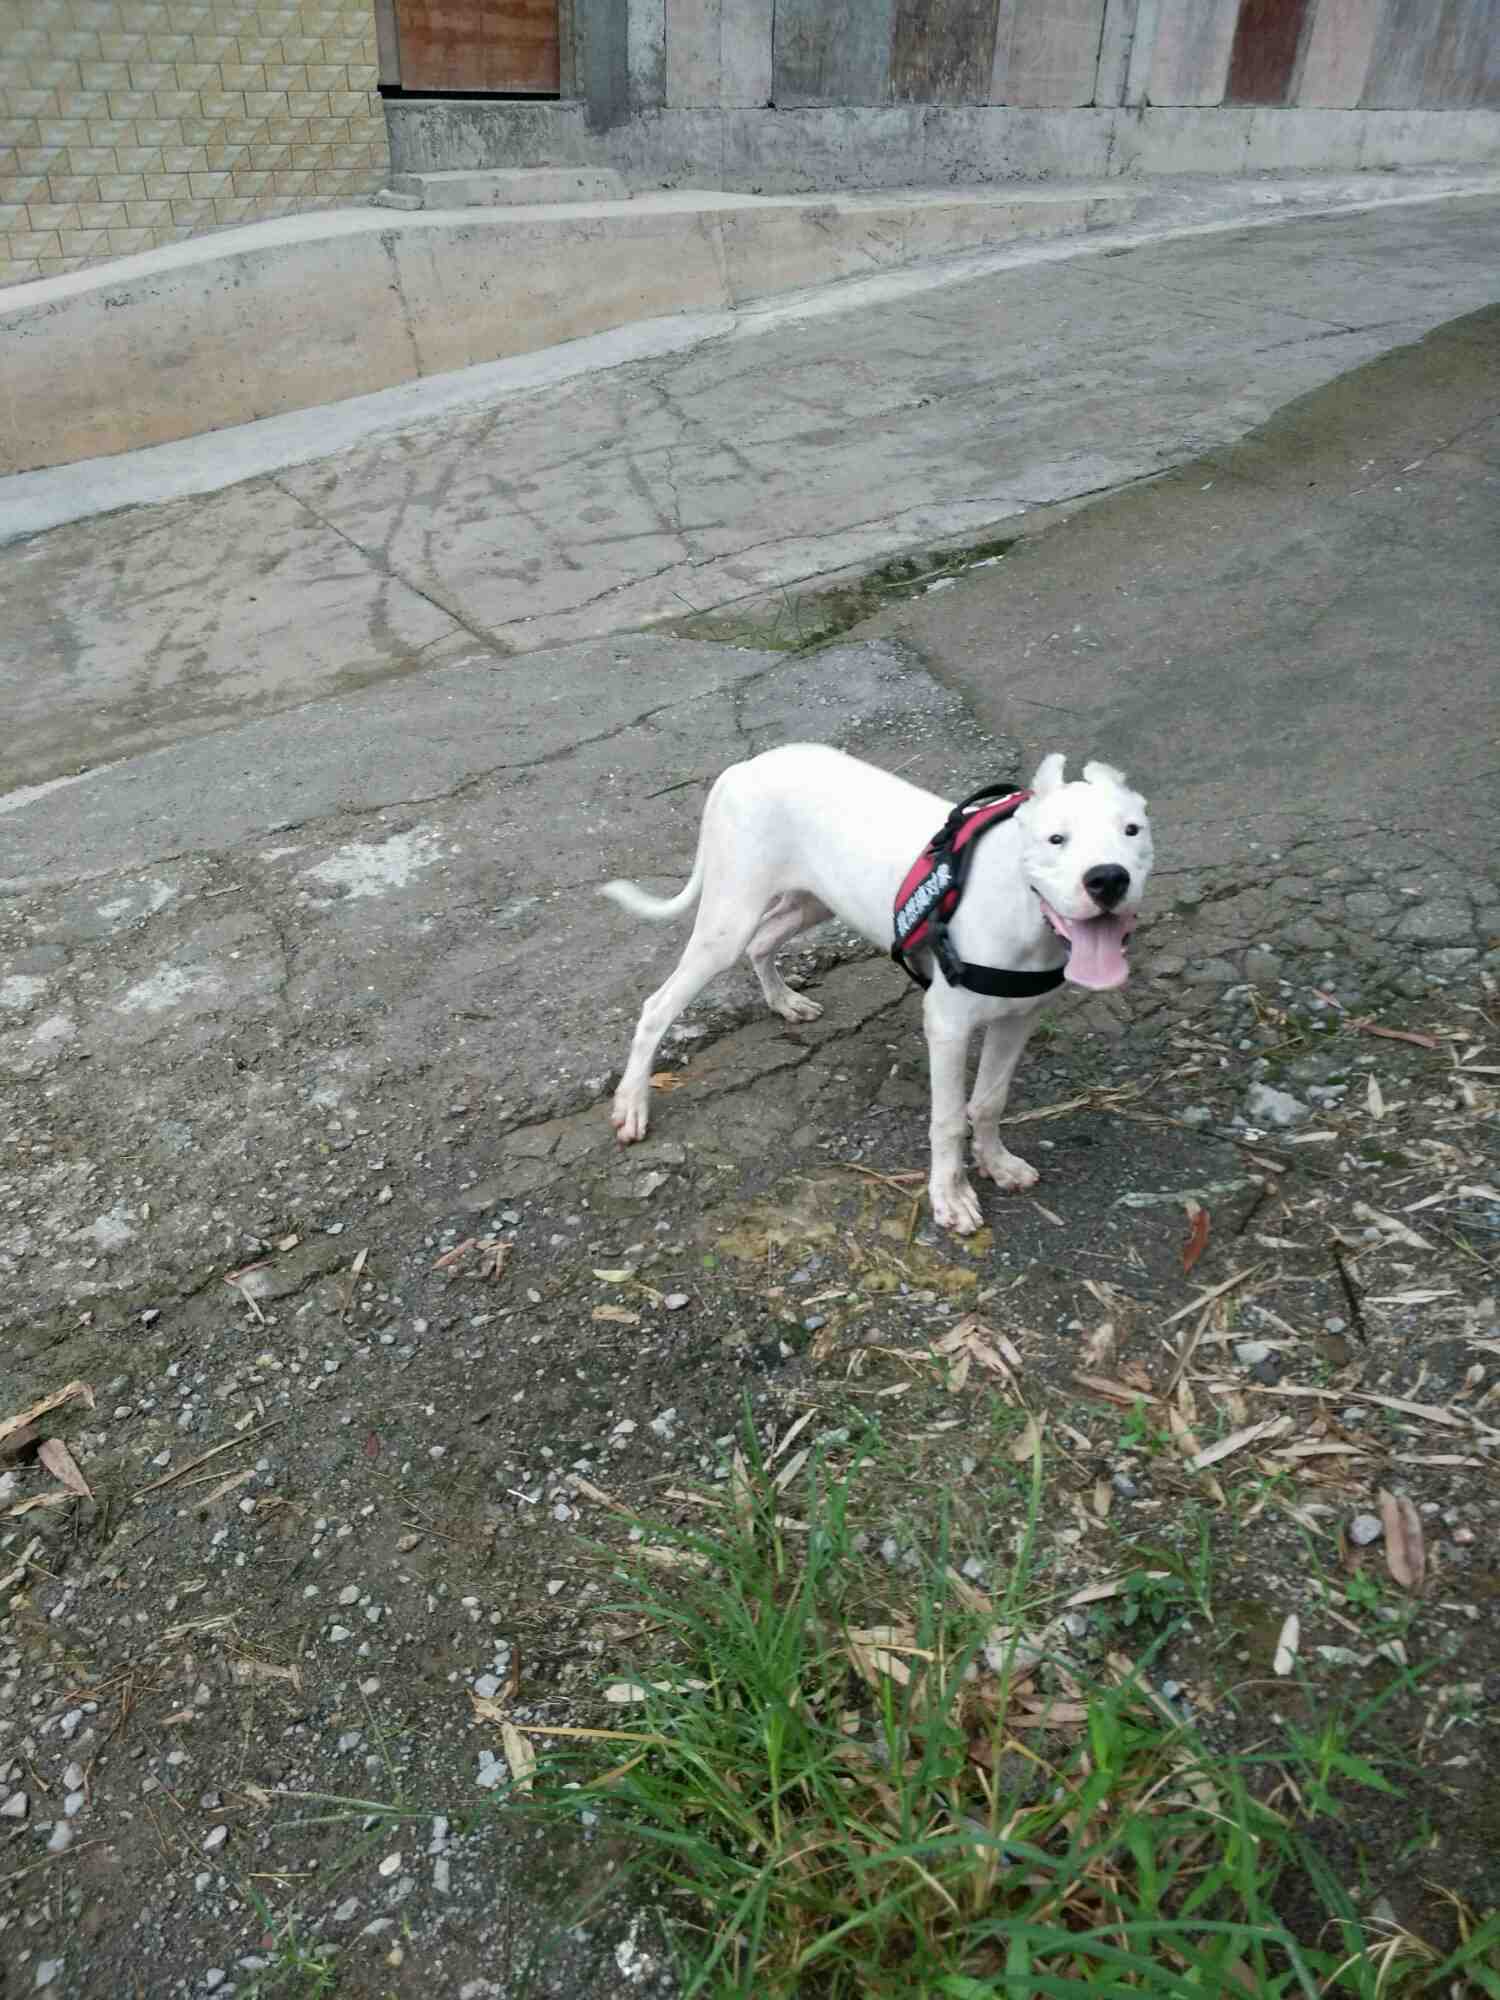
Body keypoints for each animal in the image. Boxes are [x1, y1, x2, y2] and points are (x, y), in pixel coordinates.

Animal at [600, 745, 1152, 1234]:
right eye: (1056, 839)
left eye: (1132, 830)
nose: (1108, 879)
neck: (1023, 906)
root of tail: (743, 767)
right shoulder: (947, 1026)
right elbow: (949, 1119)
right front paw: (950, 1196)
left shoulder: (1017, 1019)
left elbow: (990, 1101)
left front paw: (997, 1162)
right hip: (727, 921)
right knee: (658, 1005)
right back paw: (632, 1103)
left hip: (812, 901)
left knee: (763, 941)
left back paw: (784, 1002)